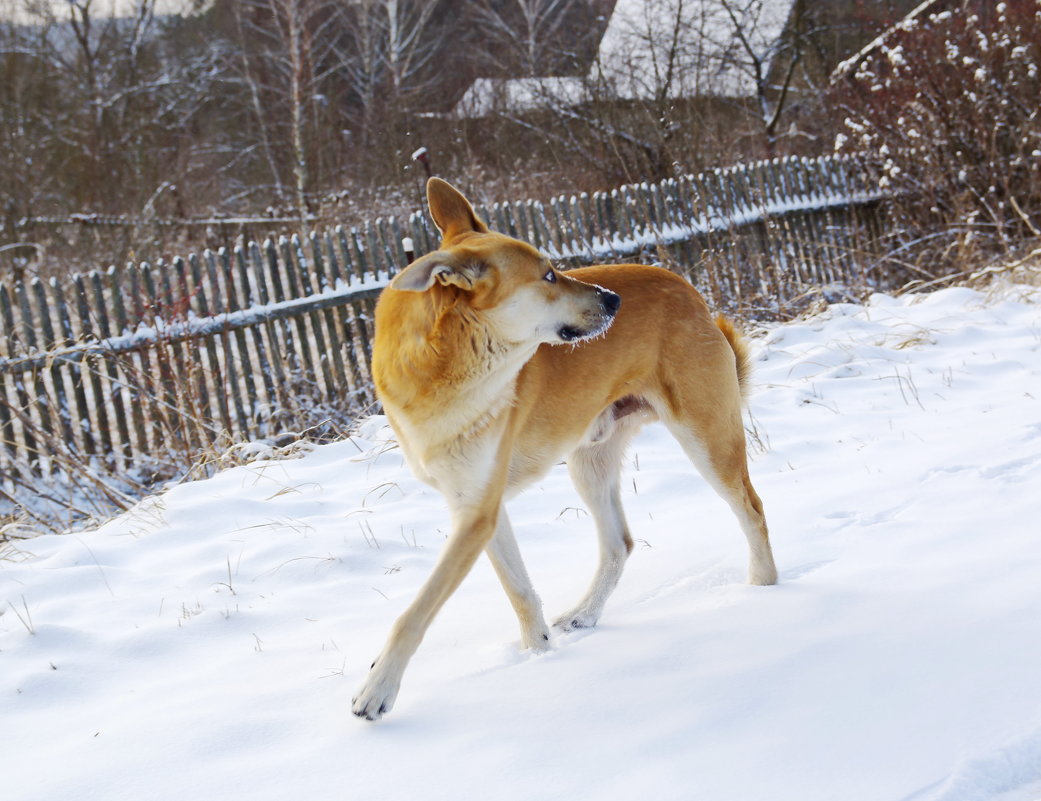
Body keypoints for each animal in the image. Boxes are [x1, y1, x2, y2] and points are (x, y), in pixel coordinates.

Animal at [353, 179, 778, 716]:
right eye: (549, 276)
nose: (613, 300)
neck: (445, 367)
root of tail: (687, 288)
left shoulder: (476, 515)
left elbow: (416, 611)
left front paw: (378, 687)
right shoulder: (478, 508)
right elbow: (518, 591)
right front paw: (541, 657)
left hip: (706, 438)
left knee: (752, 509)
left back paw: (763, 589)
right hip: (589, 462)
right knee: (619, 543)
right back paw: (584, 615)